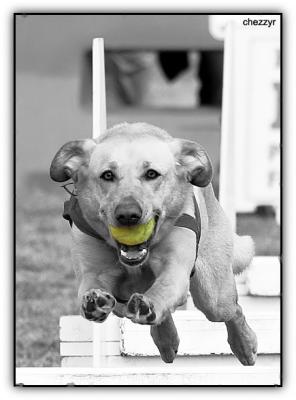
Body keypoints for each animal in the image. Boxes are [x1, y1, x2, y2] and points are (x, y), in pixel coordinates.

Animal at [50, 122, 256, 366]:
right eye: (107, 175)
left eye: (151, 174)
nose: (128, 215)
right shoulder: (92, 271)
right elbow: (91, 286)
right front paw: (95, 300)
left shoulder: (175, 269)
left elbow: (163, 289)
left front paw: (149, 304)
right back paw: (167, 341)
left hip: (213, 294)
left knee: (233, 310)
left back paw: (245, 345)